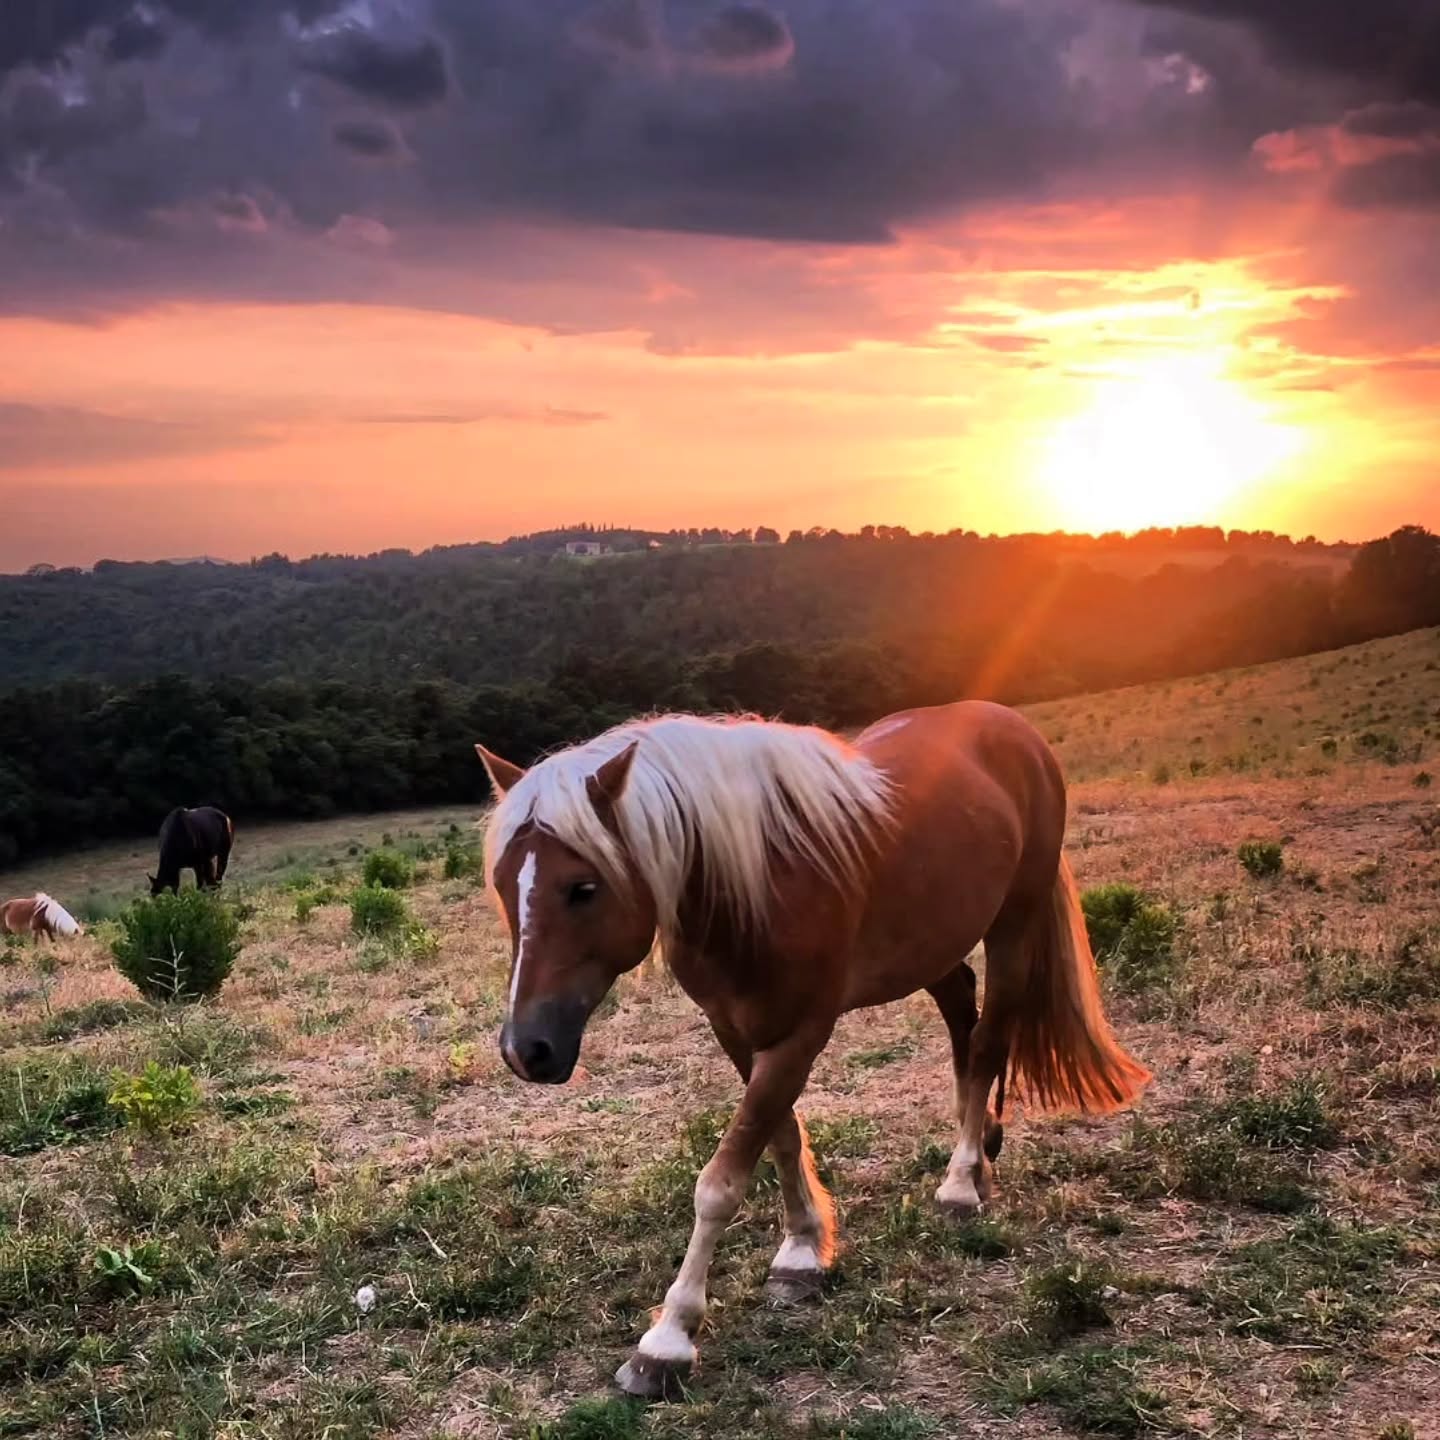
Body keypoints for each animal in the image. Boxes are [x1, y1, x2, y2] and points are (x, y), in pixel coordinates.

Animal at [475, 702, 1151, 1397]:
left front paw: (668, 1339)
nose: (526, 1049)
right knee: (964, 1019)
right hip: (935, 941)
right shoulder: (737, 1031)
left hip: (1014, 922)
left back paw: (962, 1181)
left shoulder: (799, 1034)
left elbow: (722, 1179)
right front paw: (802, 1252)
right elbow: (780, 1138)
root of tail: (1013, 727)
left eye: (583, 888)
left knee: (988, 1040)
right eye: (501, 885)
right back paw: (984, 1142)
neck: (751, 882)